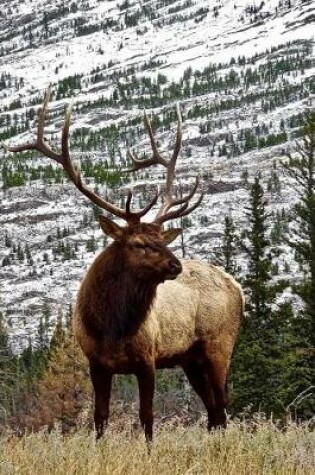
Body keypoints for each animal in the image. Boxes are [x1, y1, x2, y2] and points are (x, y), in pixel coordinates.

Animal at [4, 88, 246, 446]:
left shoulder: (147, 360)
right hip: (190, 358)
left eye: (161, 238)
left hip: (219, 344)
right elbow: (100, 418)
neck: (111, 328)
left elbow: (147, 418)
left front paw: (149, 451)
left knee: (222, 405)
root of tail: (237, 286)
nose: (175, 264)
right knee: (213, 411)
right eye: (138, 243)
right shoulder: (97, 364)